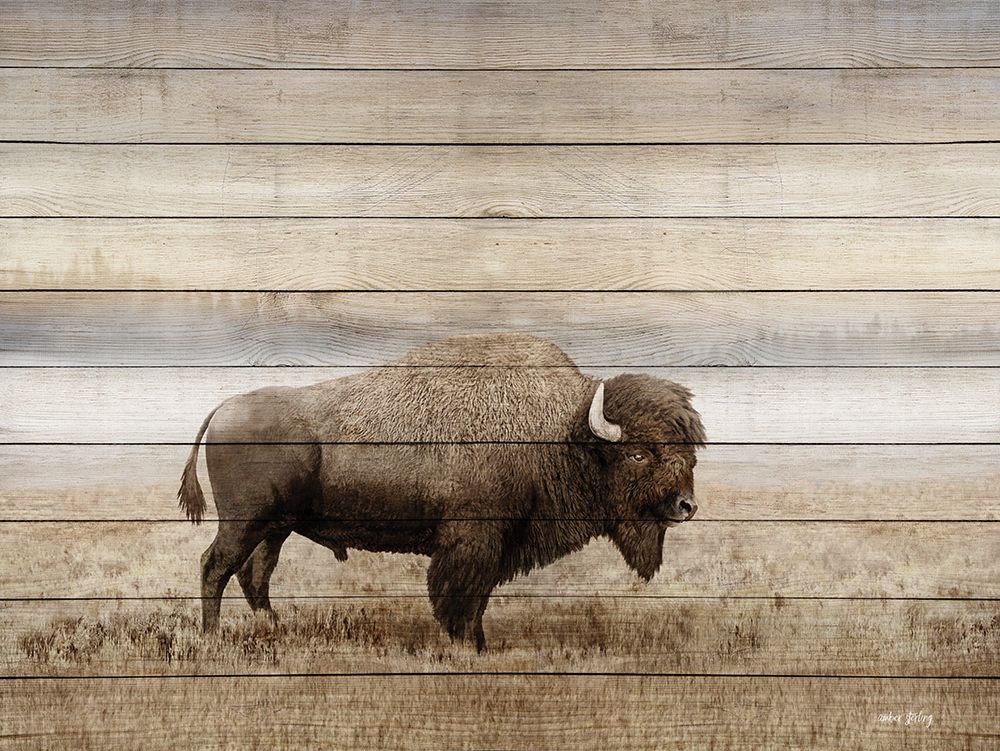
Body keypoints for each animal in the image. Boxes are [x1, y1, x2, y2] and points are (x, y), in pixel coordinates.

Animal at [178, 334, 705, 651]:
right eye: (637, 454)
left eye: (689, 452)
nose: (686, 506)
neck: (563, 430)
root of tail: (223, 409)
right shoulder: (471, 541)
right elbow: (460, 596)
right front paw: (467, 645)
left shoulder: (495, 546)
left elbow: (477, 598)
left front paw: (479, 644)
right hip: (245, 523)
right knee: (215, 566)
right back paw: (212, 637)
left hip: (276, 528)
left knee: (255, 575)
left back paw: (273, 627)